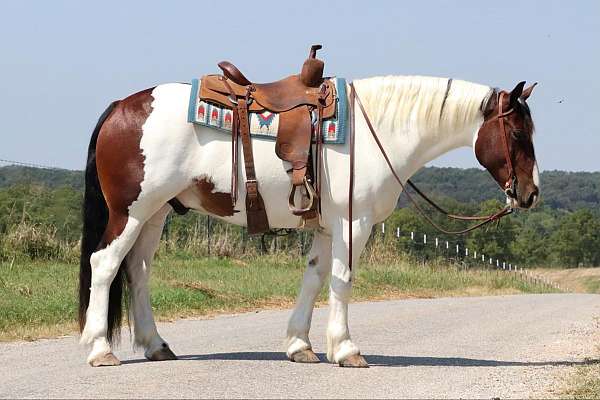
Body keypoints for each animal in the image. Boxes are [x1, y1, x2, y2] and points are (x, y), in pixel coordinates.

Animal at [76, 73, 540, 368]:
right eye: (518, 134)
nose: (530, 193)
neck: (377, 133)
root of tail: (121, 107)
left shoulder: (325, 228)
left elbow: (315, 279)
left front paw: (300, 345)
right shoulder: (354, 225)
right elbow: (342, 281)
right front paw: (346, 350)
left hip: (154, 215)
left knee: (137, 270)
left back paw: (156, 345)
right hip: (130, 212)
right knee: (105, 264)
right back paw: (99, 350)